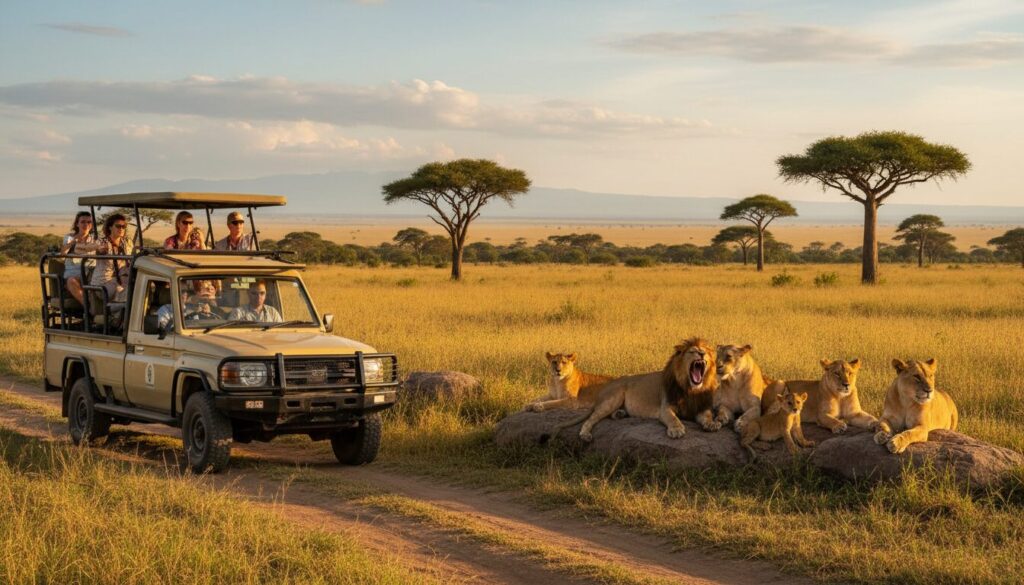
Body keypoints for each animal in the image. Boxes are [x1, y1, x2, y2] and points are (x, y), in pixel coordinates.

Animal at [549, 337, 720, 442]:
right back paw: (585, 434)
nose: (702, 353)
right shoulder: (665, 408)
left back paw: (620, 414)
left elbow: (707, 416)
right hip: (613, 397)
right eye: (692, 351)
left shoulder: (700, 406)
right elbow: (673, 418)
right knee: (591, 419)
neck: (690, 389)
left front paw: (712, 424)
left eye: (705, 351)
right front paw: (676, 430)